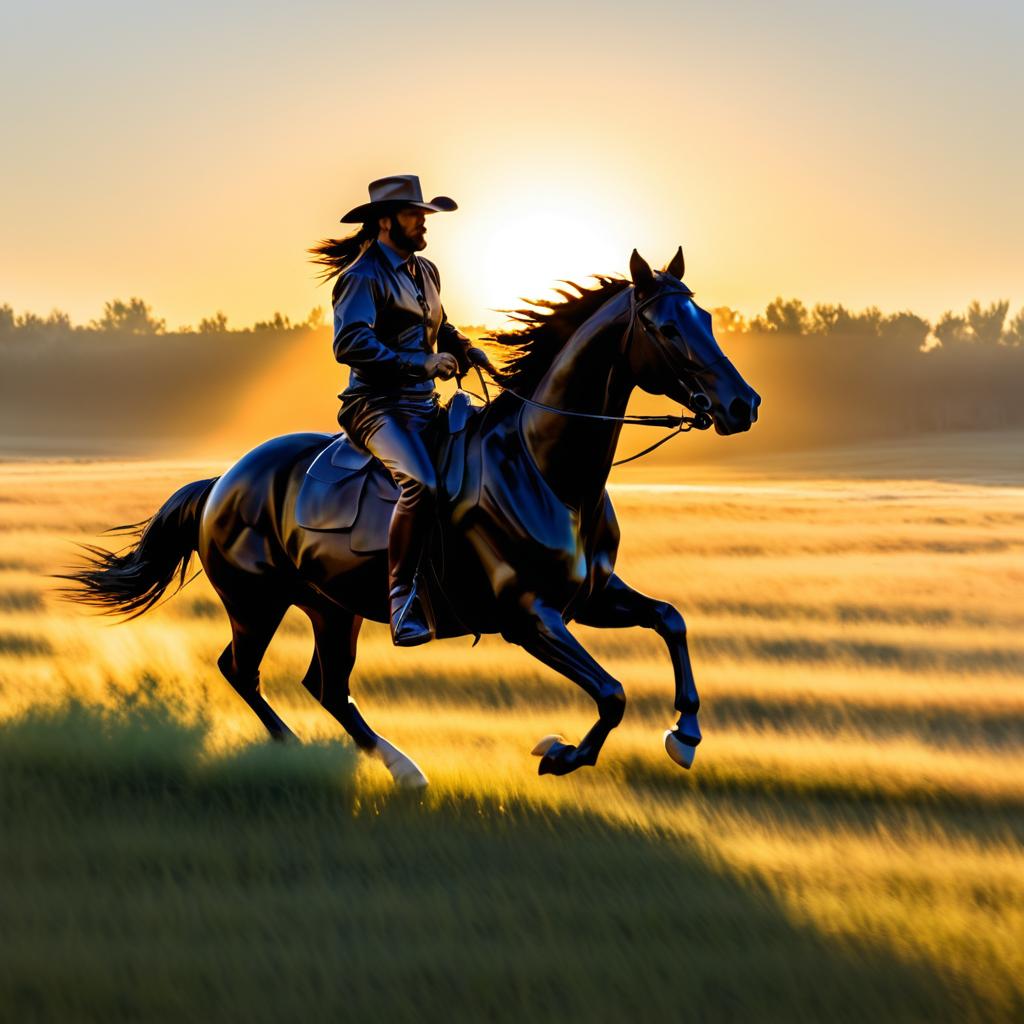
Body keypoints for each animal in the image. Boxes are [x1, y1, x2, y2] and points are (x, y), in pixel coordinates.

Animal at [59, 245, 757, 782]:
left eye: (706, 317)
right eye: (666, 329)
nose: (742, 404)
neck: (547, 473)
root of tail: (221, 484)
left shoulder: (590, 597)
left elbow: (670, 621)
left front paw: (685, 734)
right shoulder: (529, 616)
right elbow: (611, 694)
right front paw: (558, 754)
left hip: (330, 607)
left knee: (326, 685)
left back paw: (402, 768)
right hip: (256, 601)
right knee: (243, 671)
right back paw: (297, 753)